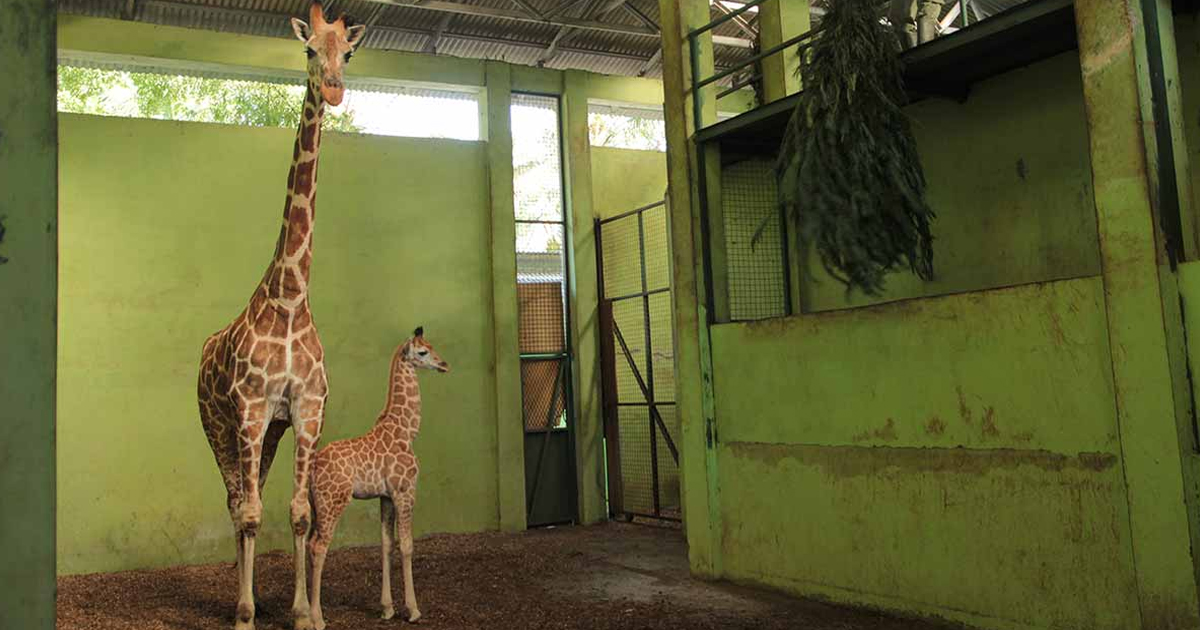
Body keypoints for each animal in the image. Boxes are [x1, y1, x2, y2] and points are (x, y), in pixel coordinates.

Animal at [196, 4, 365, 630]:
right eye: (309, 49)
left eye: (348, 52)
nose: (334, 89)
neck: (290, 298)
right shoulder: (248, 410)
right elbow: (249, 513)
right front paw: (246, 615)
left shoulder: (305, 412)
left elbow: (297, 512)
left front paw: (302, 613)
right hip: (220, 426)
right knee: (234, 502)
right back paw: (240, 602)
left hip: (267, 433)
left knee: (252, 497)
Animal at [307, 327, 450, 629]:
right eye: (423, 352)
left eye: (432, 346)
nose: (444, 364)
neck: (406, 430)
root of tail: (311, 469)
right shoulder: (405, 490)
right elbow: (406, 545)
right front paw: (413, 610)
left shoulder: (385, 496)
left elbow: (386, 545)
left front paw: (387, 608)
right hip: (334, 502)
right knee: (318, 546)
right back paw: (317, 618)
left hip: (316, 507)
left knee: (305, 543)